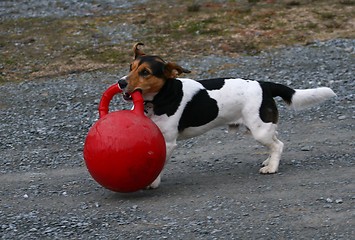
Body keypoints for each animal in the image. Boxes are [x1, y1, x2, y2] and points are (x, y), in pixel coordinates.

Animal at [118, 43, 338, 188]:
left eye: (145, 72)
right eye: (130, 67)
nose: (120, 82)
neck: (161, 96)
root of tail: (264, 84)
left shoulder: (169, 142)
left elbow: (159, 163)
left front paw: (152, 182)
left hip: (259, 130)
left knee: (279, 145)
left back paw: (271, 167)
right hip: (256, 127)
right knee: (276, 139)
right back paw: (268, 161)